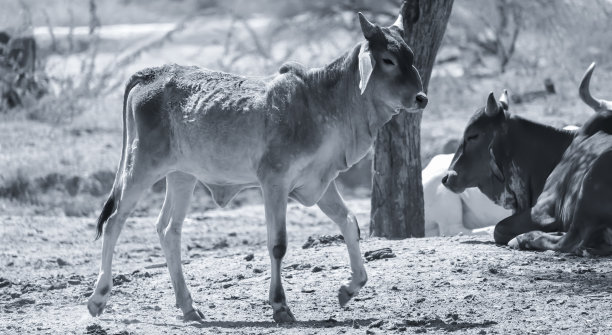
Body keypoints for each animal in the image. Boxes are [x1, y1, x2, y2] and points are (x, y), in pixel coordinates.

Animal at [88, 13, 428, 326]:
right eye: (388, 60)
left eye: (411, 56)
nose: (421, 98)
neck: (324, 101)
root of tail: (151, 73)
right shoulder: (274, 182)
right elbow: (278, 244)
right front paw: (280, 306)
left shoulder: (318, 183)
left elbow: (349, 223)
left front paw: (349, 288)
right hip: (142, 166)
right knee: (115, 221)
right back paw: (98, 298)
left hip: (182, 175)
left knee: (168, 229)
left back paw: (188, 307)